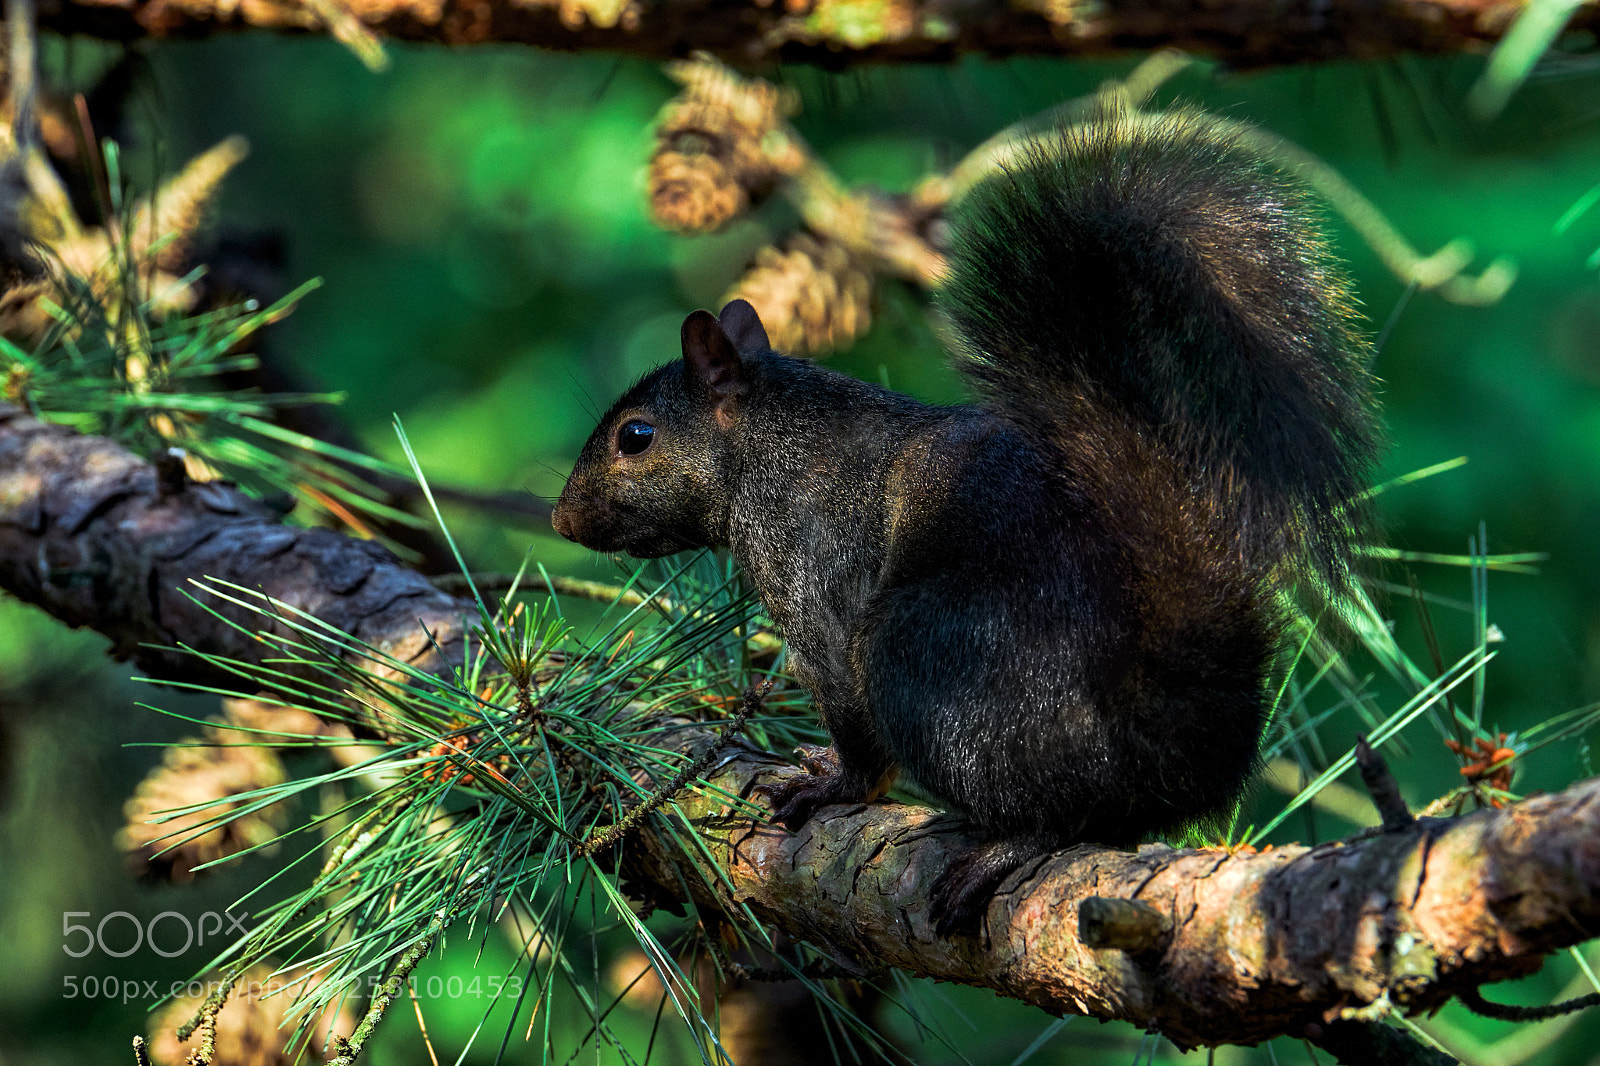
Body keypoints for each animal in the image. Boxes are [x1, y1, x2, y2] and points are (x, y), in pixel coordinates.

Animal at [551, 106, 1382, 935]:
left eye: (635, 436)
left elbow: (850, 719)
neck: (767, 443)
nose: (560, 519)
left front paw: (833, 785)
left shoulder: (812, 574)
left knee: (1063, 810)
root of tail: (1164, 720)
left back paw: (1004, 848)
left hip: (918, 652)